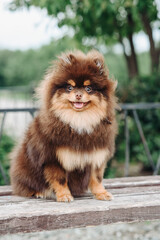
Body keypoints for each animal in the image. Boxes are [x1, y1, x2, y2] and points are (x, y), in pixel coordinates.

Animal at [9, 49, 117, 202]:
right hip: (26, 170)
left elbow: (97, 178)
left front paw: (101, 193)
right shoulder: (53, 158)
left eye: (88, 88)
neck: (79, 120)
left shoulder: (96, 156)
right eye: (70, 87)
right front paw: (64, 195)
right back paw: (38, 192)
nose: (78, 95)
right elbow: (59, 179)